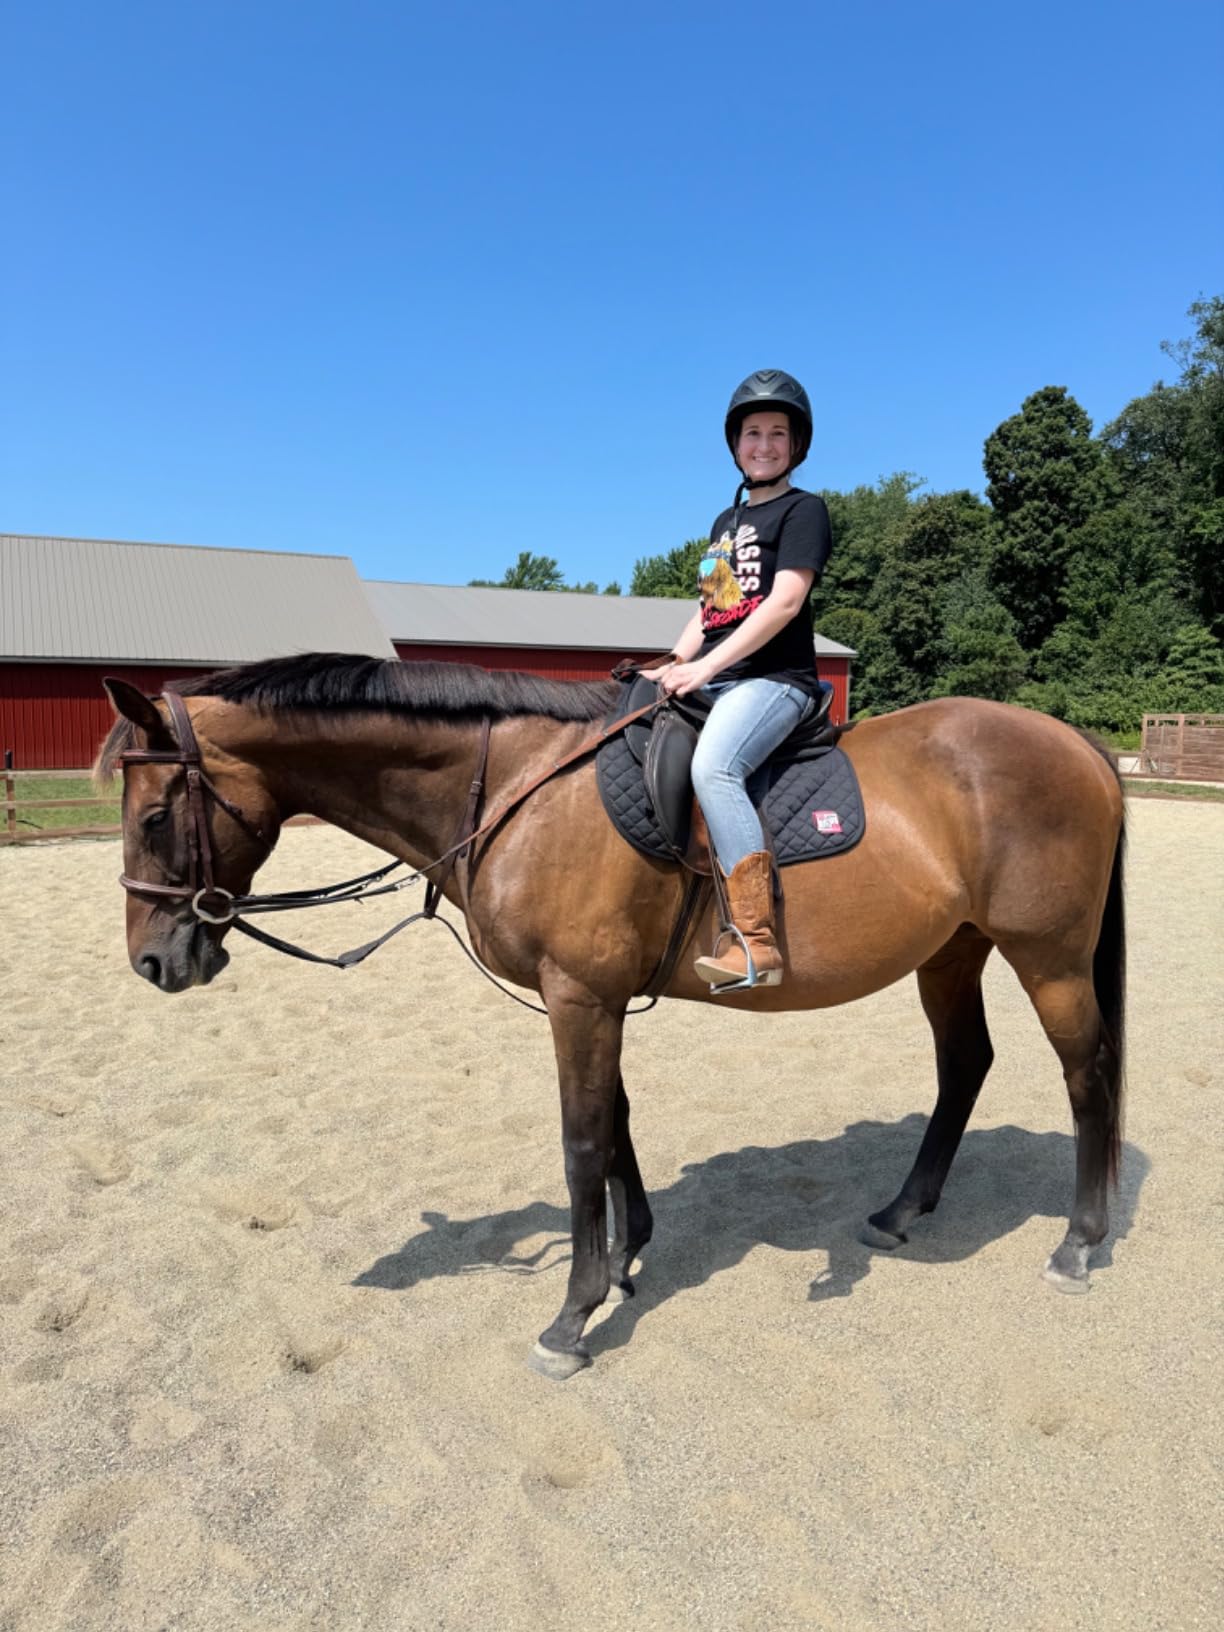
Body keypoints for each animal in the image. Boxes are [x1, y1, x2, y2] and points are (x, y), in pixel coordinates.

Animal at [98, 653, 1126, 1379]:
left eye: (152, 818)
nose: (153, 963)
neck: (517, 787)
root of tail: (1076, 744)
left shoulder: (579, 996)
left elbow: (582, 1140)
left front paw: (572, 1315)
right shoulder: (597, 995)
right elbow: (619, 1121)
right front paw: (631, 1255)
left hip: (1048, 954)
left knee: (1086, 1071)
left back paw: (1078, 1242)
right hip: (952, 949)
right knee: (966, 1066)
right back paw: (903, 1210)